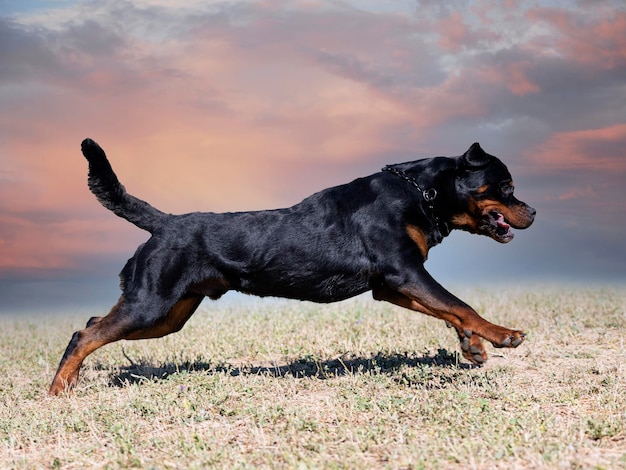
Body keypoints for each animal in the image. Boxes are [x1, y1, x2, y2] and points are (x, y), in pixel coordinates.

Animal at [50, 138, 536, 394]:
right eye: (507, 186)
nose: (532, 211)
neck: (421, 194)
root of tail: (164, 223)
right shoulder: (404, 272)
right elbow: (459, 303)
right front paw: (502, 335)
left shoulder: (392, 284)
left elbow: (449, 310)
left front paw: (473, 346)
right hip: (151, 302)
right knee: (83, 335)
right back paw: (58, 390)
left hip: (168, 315)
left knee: (92, 325)